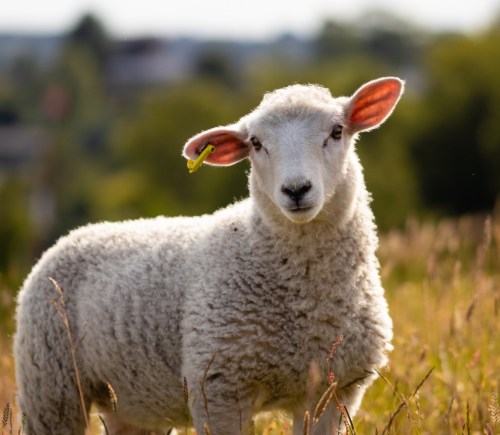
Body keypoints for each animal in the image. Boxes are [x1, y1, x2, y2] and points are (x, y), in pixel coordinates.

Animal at [14, 76, 406, 434]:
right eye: (256, 143)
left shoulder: (333, 392)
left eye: (337, 131)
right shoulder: (218, 389)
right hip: (52, 389)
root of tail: (72, 235)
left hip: (129, 402)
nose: (296, 189)